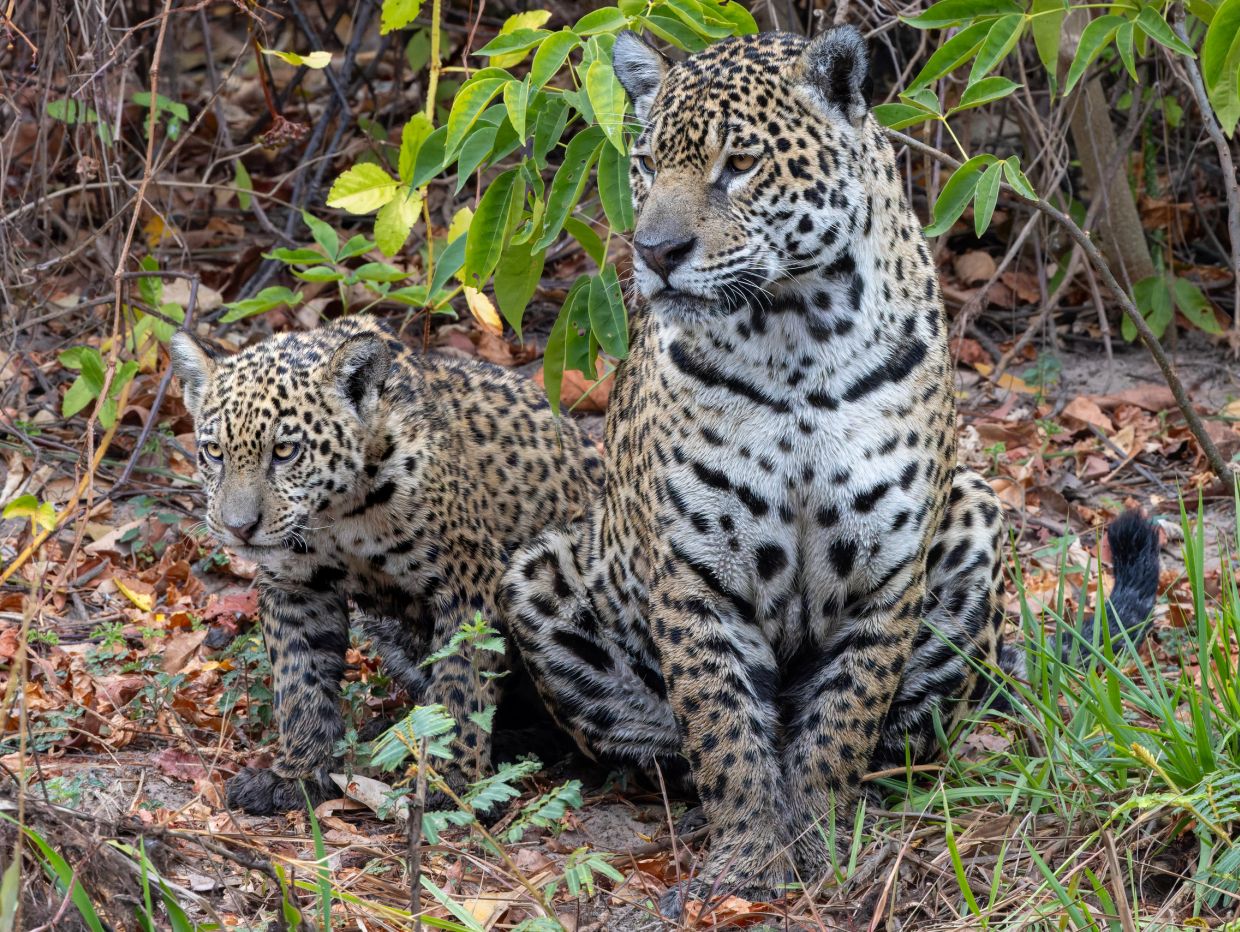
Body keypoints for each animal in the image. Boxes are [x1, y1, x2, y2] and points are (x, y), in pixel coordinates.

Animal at [170, 315, 602, 815]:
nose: (240, 528)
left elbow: (461, 683)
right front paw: (296, 772)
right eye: (214, 451)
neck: (337, 515)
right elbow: (299, 682)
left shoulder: (470, 580)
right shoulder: (296, 587)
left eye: (284, 451)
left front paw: (453, 777)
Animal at [501, 25, 1161, 909]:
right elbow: (723, 729)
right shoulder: (692, 574)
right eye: (643, 163)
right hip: (545, 571)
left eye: (739, 163)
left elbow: (843, 722)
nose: (656, 252)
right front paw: (746, 861)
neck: (796, 340)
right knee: (662, 744)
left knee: (911, 729)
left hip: (975, 517)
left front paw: (820, 844)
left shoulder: (886, 573)